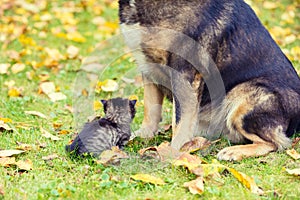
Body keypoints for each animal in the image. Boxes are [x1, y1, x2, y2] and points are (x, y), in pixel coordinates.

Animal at [118, 0, 300, 160]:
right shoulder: (148, 66)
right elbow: (151, 110)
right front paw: (143, 136)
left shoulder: (184, 72)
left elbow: (180, 122)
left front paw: (171, 152)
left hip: (243, 97)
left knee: (277, 143)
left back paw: (234, 151)